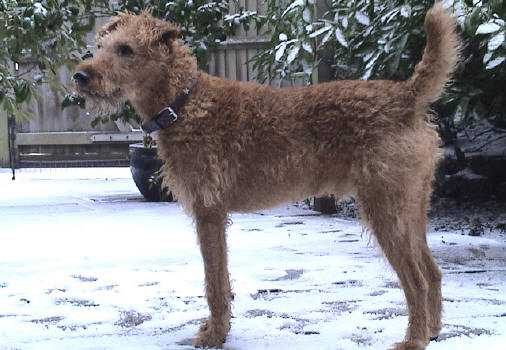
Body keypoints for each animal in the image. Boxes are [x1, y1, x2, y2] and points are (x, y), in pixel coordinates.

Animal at [74, 2, 458, 348]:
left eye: (125, 49)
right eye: (101, 47)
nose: (80, 75)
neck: (185, 103)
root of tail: (406, 97)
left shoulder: (208, 211)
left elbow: (214, 283)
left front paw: (214, 336)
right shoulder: (213, 214)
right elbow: (222, 281)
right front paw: (217, 330)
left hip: (384, 209)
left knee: (417, 280)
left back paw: (413, 340)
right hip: (412, 207)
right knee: (433, 271)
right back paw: (433, 331)